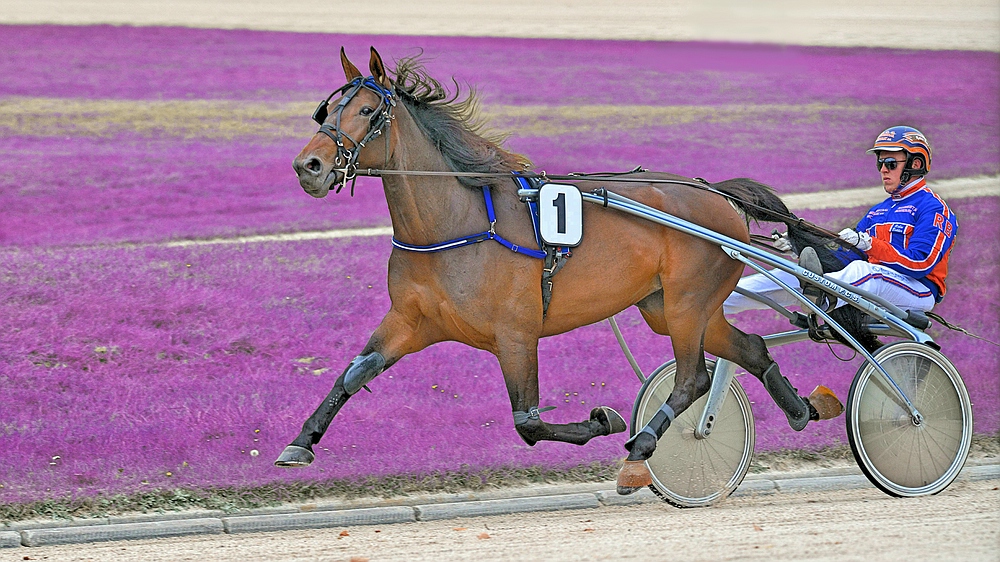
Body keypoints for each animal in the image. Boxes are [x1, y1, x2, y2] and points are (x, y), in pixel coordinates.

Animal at [278, 47, 840, 490]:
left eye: (367, 109)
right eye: (325, 109)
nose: (309, 166)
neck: (455, 224)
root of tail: (718, 194)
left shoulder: (516, 333)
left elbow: (527, 421)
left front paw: (604, 419)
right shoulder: (411, 320)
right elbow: (353, 374)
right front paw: (300, 442)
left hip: (686, 304)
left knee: (692, 379)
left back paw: (640, 449)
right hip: (674, 307)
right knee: (751, 348)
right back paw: (801, 409)